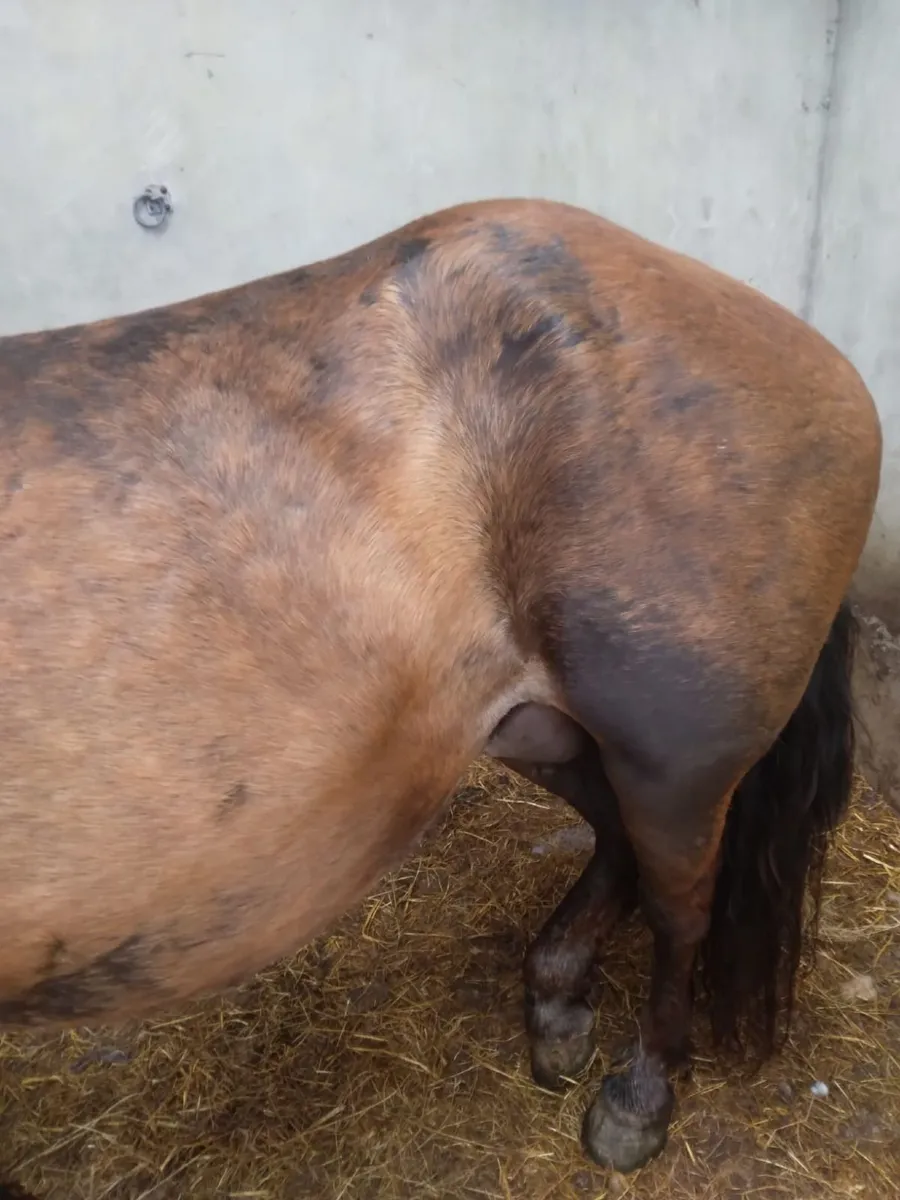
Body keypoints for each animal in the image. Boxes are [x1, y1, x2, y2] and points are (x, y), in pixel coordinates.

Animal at [0, 198, 881, 1173]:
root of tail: (820, 360)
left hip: (671, 767)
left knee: (679, 910)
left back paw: (637, 1099)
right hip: (528, 725)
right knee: (614, 838)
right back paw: (557, 1007)